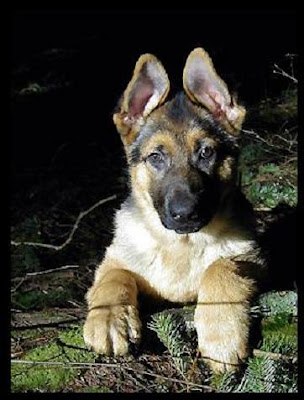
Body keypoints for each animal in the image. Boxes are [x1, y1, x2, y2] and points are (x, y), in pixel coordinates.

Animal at [83, 49, 266, 372]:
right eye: (156, 157)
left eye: (206, 153)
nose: (185, 213)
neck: (180, 245)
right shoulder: (113, 260)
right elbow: (114, 277)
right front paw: (109, 319)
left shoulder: (251, 258)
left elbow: (220, 268)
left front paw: (221, 335)